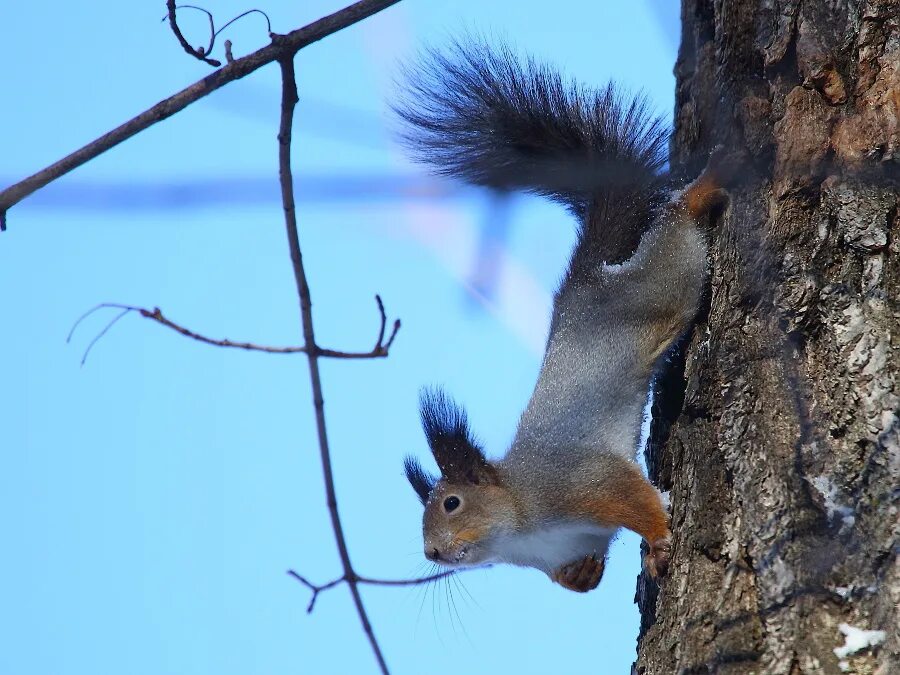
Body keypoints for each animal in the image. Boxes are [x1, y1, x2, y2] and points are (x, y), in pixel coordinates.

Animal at [398, 41, 736, 592]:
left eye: (451, 503)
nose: (432, 552)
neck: (520, 525)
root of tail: (586, 279)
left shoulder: (579, 482)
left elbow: (633, 497)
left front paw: (659, 539)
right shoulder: (565, 546)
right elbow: (577, 579)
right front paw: (591, 571)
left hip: (663, 283)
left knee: (676, 221)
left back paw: (703, 187)